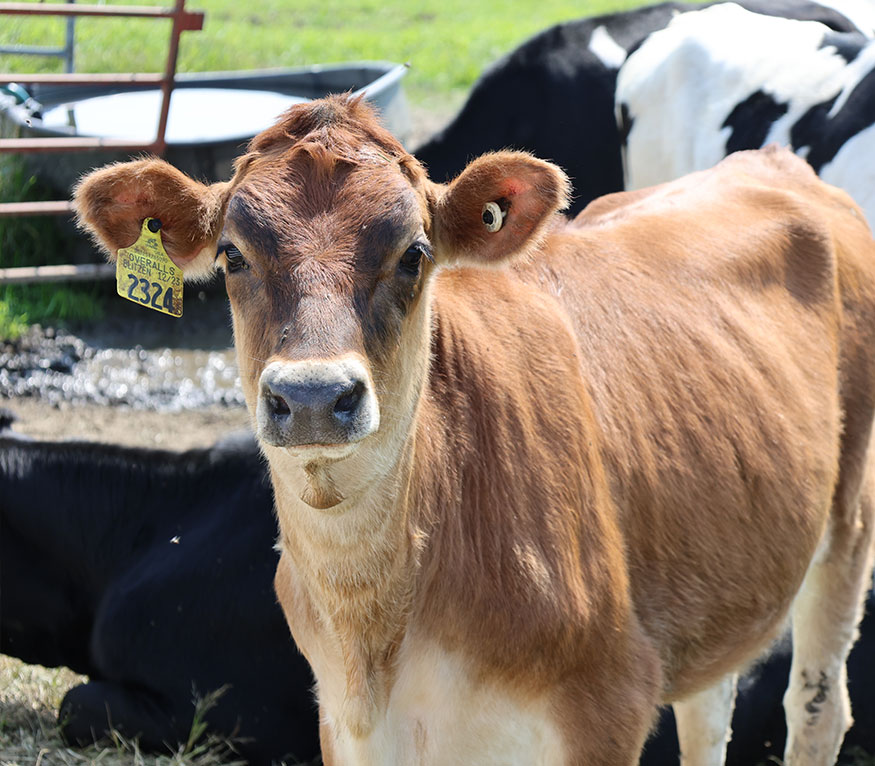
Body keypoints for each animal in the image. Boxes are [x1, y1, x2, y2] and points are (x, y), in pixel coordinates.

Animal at [73, 96, 875, 765]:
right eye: (233, 254)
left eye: (414, 254)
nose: (312, 396)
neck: (378, 628)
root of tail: (771, 162)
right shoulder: (341, 723)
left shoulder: (607, 704)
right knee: (710, 710)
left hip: (847, 525)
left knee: (816, 711)